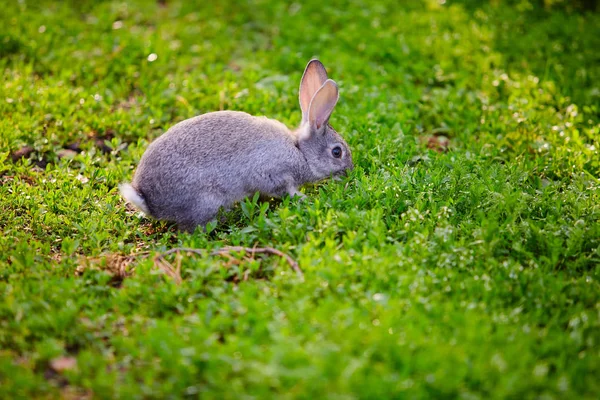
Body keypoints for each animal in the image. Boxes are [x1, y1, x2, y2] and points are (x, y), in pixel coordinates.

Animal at [118, 59, 352, 231]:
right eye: (337, 152)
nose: (349, 171)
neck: (300, 151)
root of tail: (149, 201)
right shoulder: (271, 173)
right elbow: (285, 189)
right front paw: (303, 198)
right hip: (206, 200)